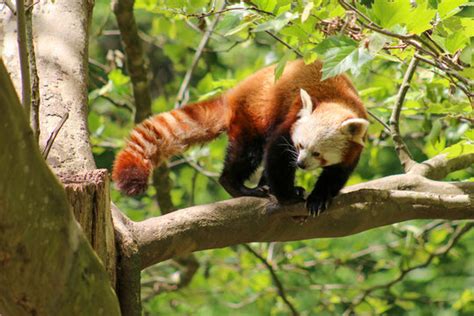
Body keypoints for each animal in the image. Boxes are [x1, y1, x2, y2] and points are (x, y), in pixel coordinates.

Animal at [113, 59, 368, 215]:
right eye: (300, 145)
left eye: (317, 153)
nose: (301, 164)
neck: (337, 100)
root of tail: (234, 93)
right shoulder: (290, 118)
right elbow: (277, 154)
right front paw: (287, 196)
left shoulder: (353, 147)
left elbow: (336, 174)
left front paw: (319, 198)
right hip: (253, 115)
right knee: (248, 154)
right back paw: (239, 186)